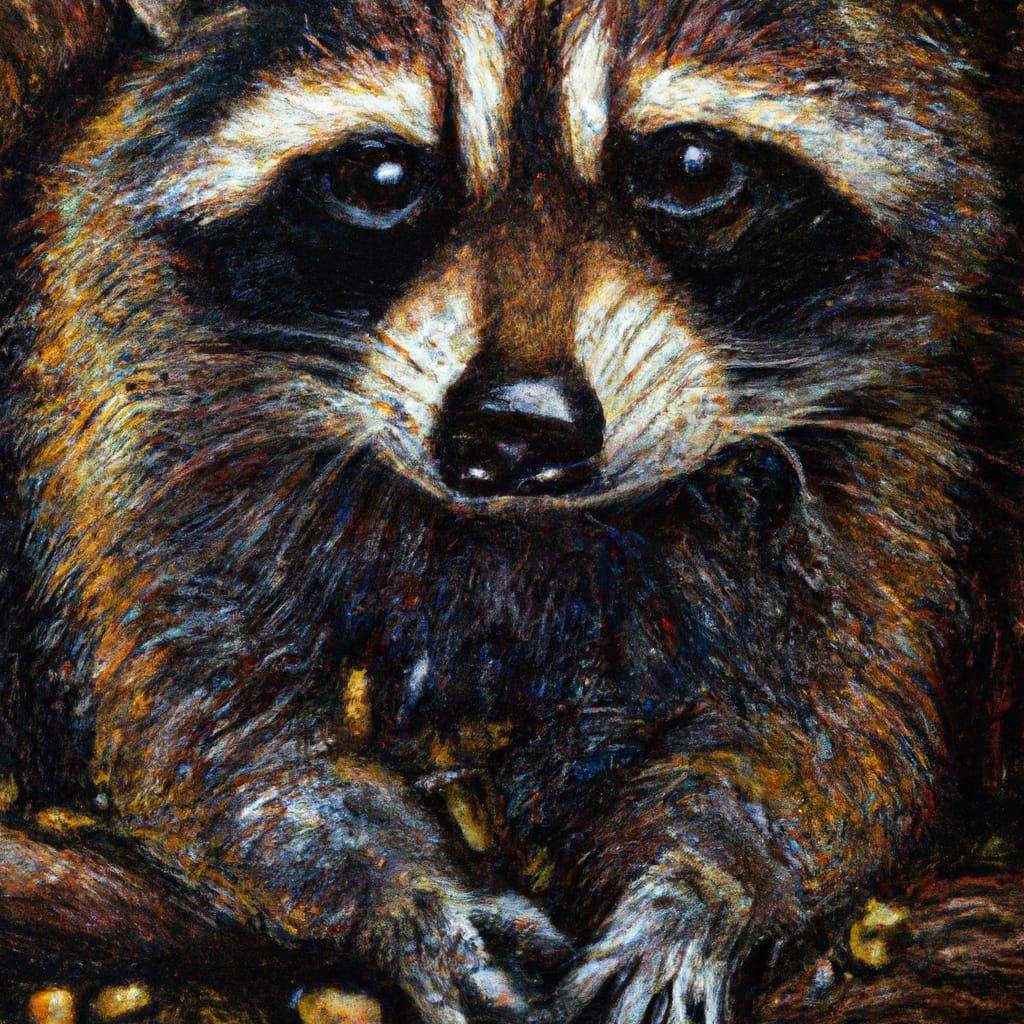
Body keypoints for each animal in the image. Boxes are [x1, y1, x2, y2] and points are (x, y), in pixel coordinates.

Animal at [0, 0, 1021, 1021]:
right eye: (379, 179)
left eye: (692, 168)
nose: (517, 428)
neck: (530, 533)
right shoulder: (135, 393)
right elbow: (202, 725)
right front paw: (397, 882)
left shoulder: (899, 434)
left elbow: (836, 737)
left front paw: (705, 881)